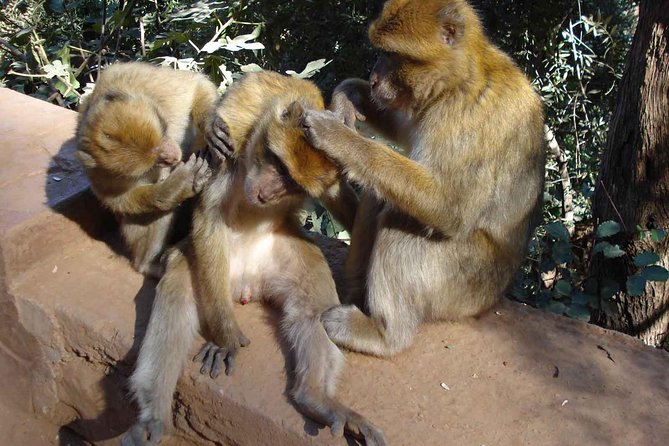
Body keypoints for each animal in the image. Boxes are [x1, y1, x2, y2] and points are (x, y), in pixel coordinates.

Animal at [77, 61, 215, 278]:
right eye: (155, 161)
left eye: (164, 134)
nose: (173, 157)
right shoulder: (99, 171)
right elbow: (119, 200)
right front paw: (179, 185)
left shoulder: (153, 85)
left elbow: (196, 86)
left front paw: (212, 124)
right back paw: (148, 265)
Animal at [300, 0, 544, 356]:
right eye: (380, 51)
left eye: (392, 54)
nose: (373, 78)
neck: (459, 76)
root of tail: (493, 299)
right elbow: (407, 132)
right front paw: (349, 95)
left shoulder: (463, 116)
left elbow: (451, 208)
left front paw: (339, 138)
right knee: (381, 197)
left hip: (463, 286)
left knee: (397, 223)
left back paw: (383, 333)